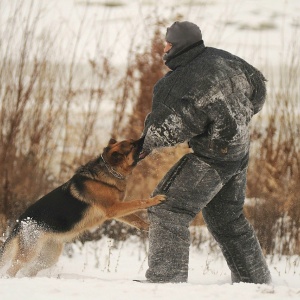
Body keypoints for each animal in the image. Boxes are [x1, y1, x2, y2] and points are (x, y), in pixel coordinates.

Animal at [0, 138, 164, 276]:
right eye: (132, 145)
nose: (145, 136)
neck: (108, 171)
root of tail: (20, 222)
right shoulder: (114, 208)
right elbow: (138, 202)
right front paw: (154, 199)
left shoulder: (116, 210)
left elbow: (135, 218)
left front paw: (147, 226)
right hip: (29, 253)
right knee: (12, 268)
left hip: (47, 257)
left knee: (29, 270)